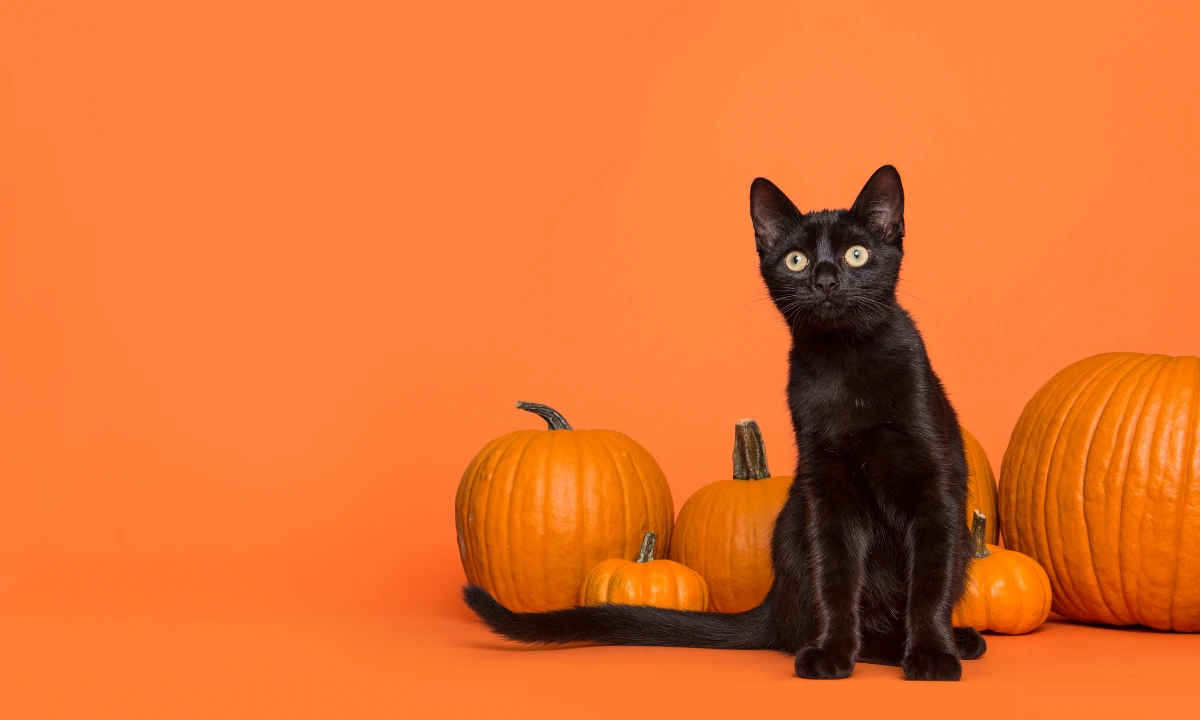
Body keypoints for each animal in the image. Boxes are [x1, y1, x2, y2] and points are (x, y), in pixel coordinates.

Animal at [460, 166, 984, 681]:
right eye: (796, 260)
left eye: (857, 254)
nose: (825, 279)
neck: (846, 363)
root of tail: (774, 598)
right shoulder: (827, 490)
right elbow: (835, 580)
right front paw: (833, 652)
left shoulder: (933, 485)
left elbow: (930, 580)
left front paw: (932, 654)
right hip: (799, 521)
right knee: (806, 621)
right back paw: (880, 646)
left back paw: (953, 641)